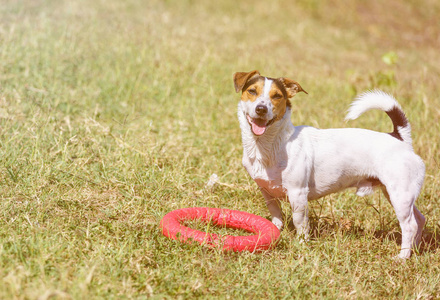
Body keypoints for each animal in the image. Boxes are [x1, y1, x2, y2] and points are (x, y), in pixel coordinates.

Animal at [232, 70, 424, 258]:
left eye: (277, 96)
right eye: (252, 91)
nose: (261, 109)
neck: (270, 144)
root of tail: (400, 137)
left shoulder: (298, 194)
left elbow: (300, 223)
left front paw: (302, 246)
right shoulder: (267, 192)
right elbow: (276, 216)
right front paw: (275, 232)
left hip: (400, 195)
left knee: (409, 225)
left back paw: (403, 257)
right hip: (397, 194)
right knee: (420, 219)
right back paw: (414, 250)